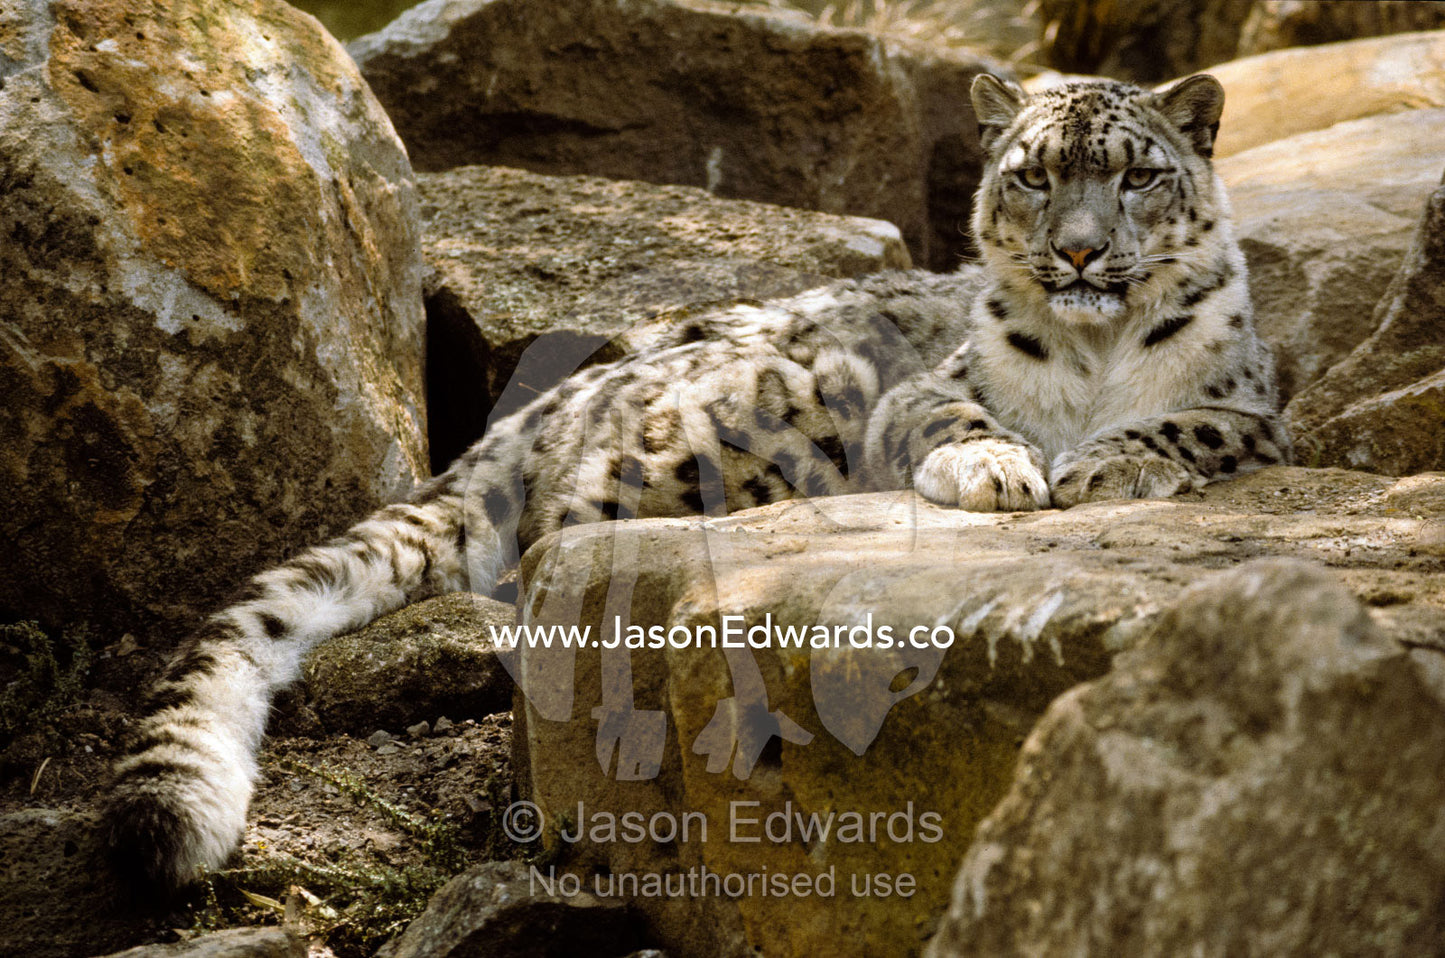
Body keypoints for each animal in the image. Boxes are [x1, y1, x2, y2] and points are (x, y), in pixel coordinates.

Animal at [104, 72, 1289, 890]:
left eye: (1136, 174)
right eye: (1032, 173)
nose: (1080, 254)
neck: (1091, 359)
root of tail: (522, 418)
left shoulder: (1254, 415)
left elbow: (1191, 425)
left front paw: (1109, 458)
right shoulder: (919, 391)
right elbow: (956, 413)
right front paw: (1000, 465)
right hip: (755, 413)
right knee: (557, 545)